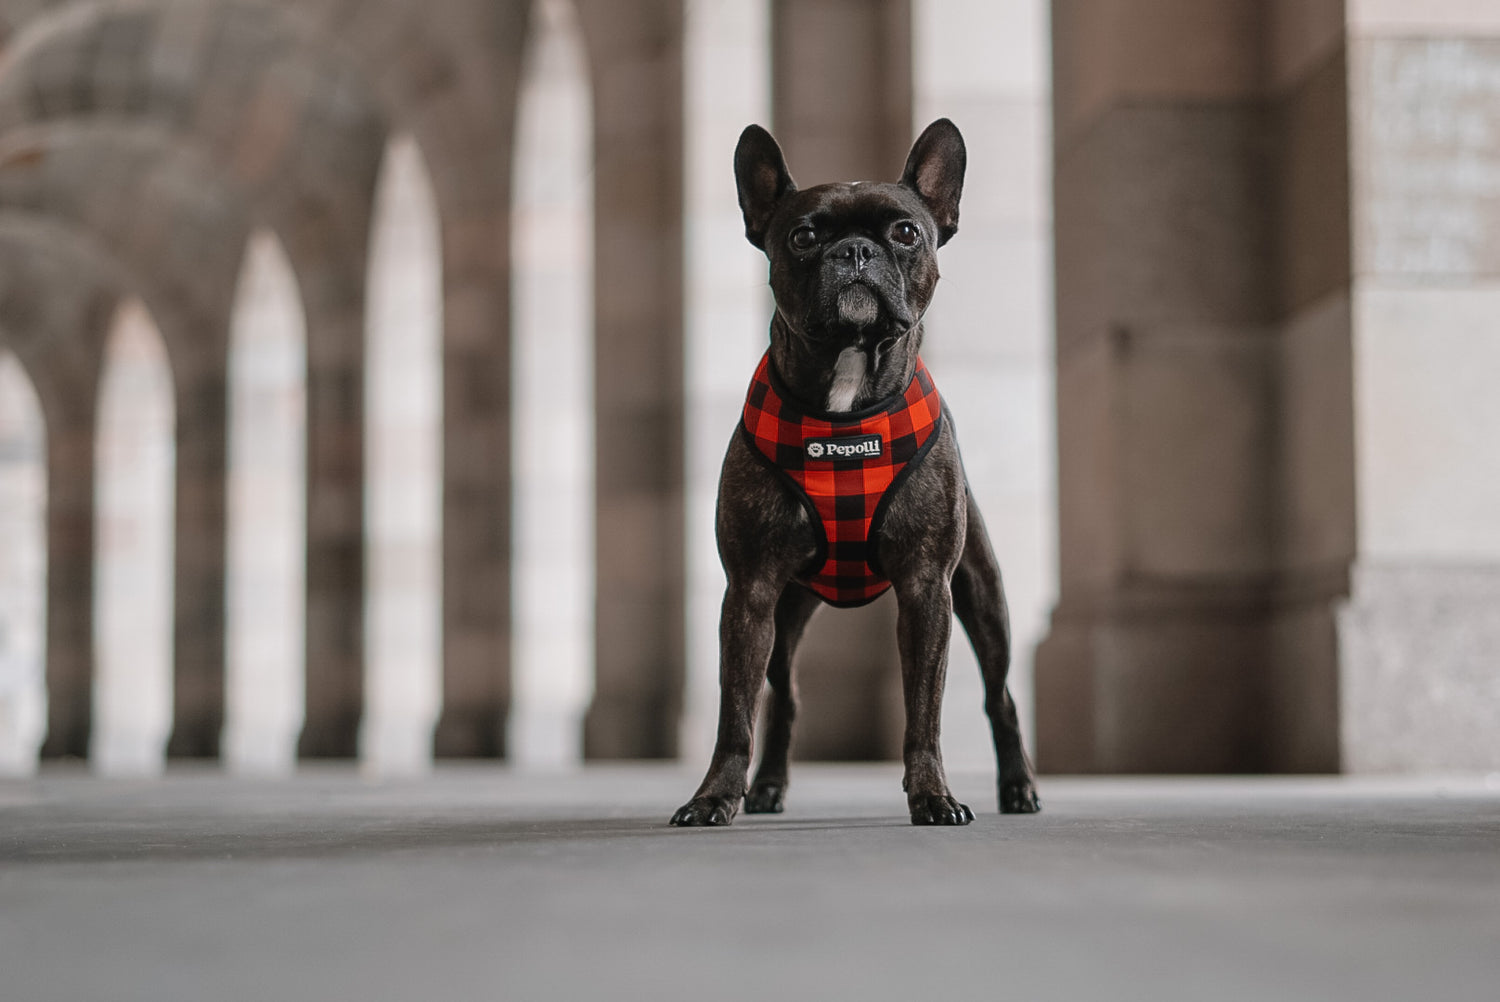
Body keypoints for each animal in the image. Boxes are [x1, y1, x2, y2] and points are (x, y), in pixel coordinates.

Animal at [672, 117, 1038, 828]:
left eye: (906, 232)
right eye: (803, 237)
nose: (857, 251)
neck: (844, 406)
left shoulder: (928, 588)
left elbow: (924, 712)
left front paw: (933, 795)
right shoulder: (749, 592)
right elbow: (735, 712)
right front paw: (714, 796)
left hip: (983, 595)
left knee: (1000, 696)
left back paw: (1018, 788)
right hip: (786, 615)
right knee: (783, 698)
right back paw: (767, 788)